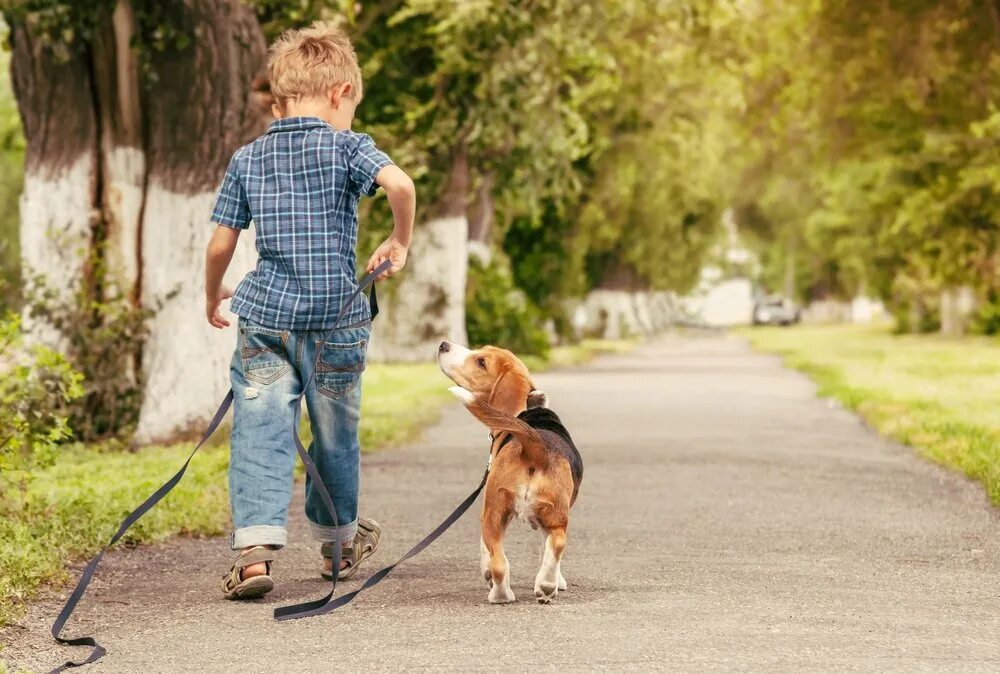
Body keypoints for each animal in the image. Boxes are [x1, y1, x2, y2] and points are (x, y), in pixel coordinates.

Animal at [436, 338, 580, 600]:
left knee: (499, 563)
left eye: (481, 362)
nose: (443, 344)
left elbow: (485, 551)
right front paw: (558, 581)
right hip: (555, 515)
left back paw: (500, 594)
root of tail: (536, 447)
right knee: (556, 542)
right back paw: (546, 585)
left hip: (492, 512)